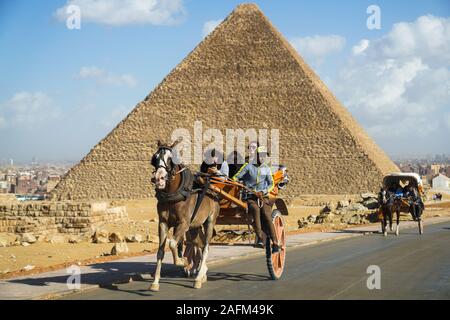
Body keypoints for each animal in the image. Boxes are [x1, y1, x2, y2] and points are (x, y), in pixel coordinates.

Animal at [149, 139, 220, 290]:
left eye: (171, 159)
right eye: (154, 158)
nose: (159, 179)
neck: (173, 194)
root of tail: (214, 189)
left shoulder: (183, 223)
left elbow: (172, 243)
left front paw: (182, 262)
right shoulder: (163, 223)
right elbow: (161, 251)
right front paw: (155, 282)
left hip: (210, 221)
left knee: (206, 246)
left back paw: (198, 278)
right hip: (195, 226)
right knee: (199, 243)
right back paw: (202, 273)